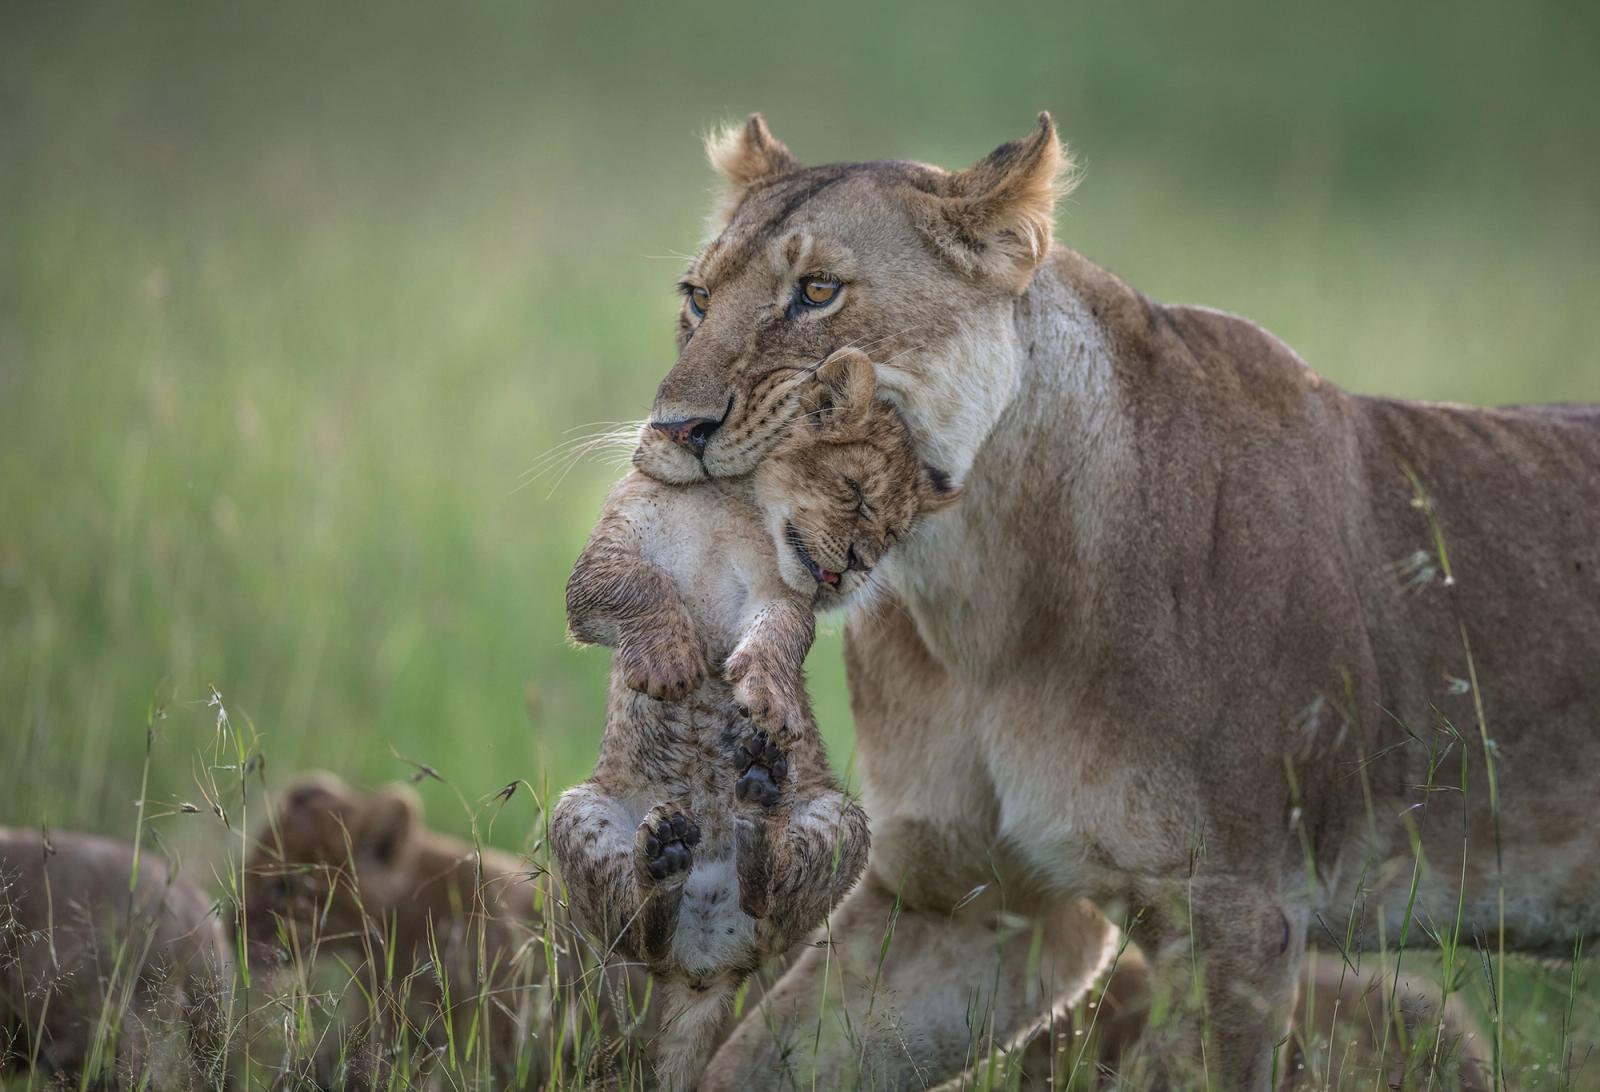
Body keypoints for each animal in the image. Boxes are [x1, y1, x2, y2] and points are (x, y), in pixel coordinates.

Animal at [554, 351, 956, 1090]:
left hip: (839, 820)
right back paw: (665, 861)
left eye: (892, 534)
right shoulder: (597, 567)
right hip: (579, 813)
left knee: (771, 906)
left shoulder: (776, 589)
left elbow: (783, 632)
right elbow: (637, 584)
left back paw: (755, 808)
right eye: (855, 493)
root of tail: (707, 969)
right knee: (638, 934)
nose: (855, 567)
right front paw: (672, 662)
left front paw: (770, 698)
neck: (720, 498)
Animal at [621, 113, 1600, 1089]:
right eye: (697, 298)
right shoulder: (968, 903)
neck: (975, 603)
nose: (672, 428)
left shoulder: (1236, 915)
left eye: (818, 291)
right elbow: (762, 1056)